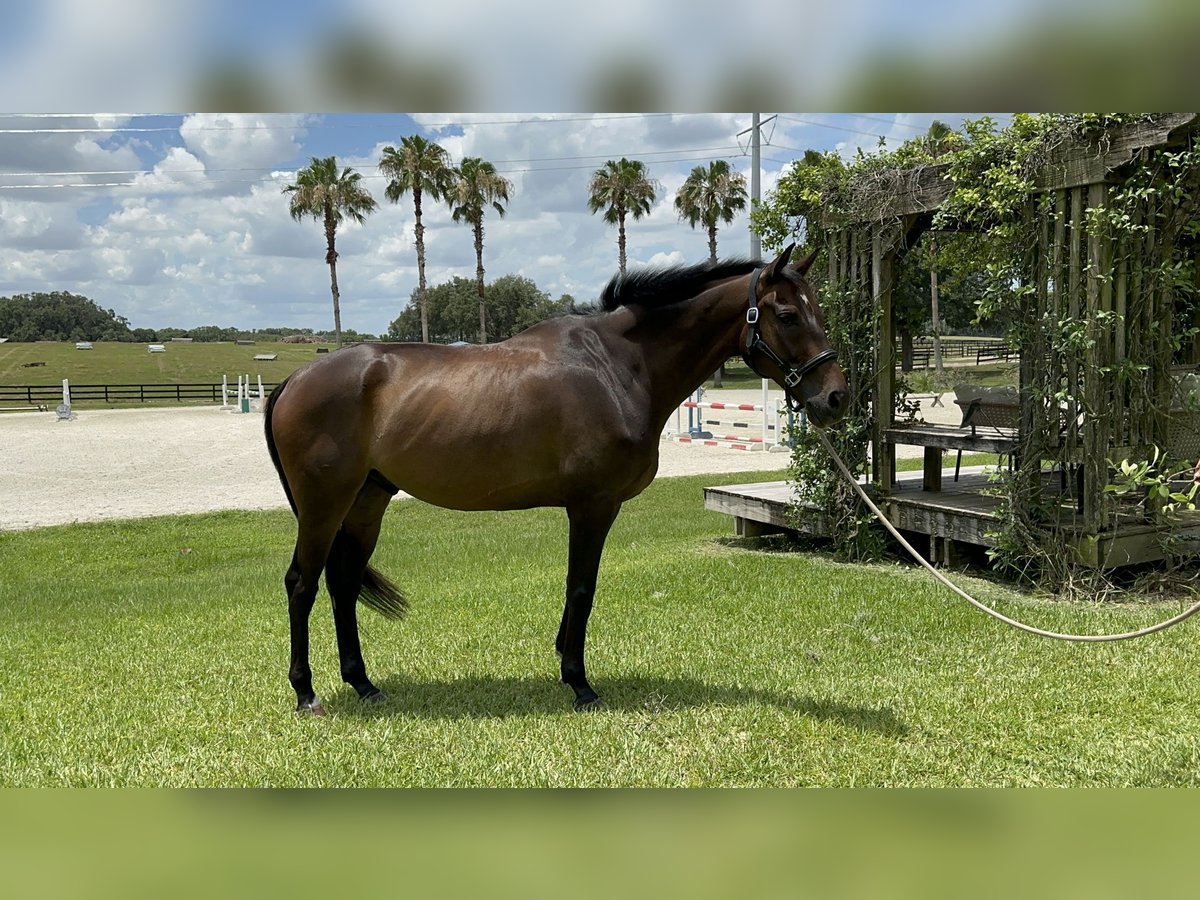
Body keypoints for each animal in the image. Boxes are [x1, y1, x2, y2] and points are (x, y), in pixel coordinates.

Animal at [265, 243, 844, 715]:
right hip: (324, 507)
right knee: (301, 584)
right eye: (788, 315)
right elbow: (581, 586)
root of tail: (294, 379)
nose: (836, 396)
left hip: (366, 503)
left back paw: (363, 684)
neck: (616, 366)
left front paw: (566, 663)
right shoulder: (594, 504)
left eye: (817, 309)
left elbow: (577, 587)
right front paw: (579, 683)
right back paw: (306, 693)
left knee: (342, 584)